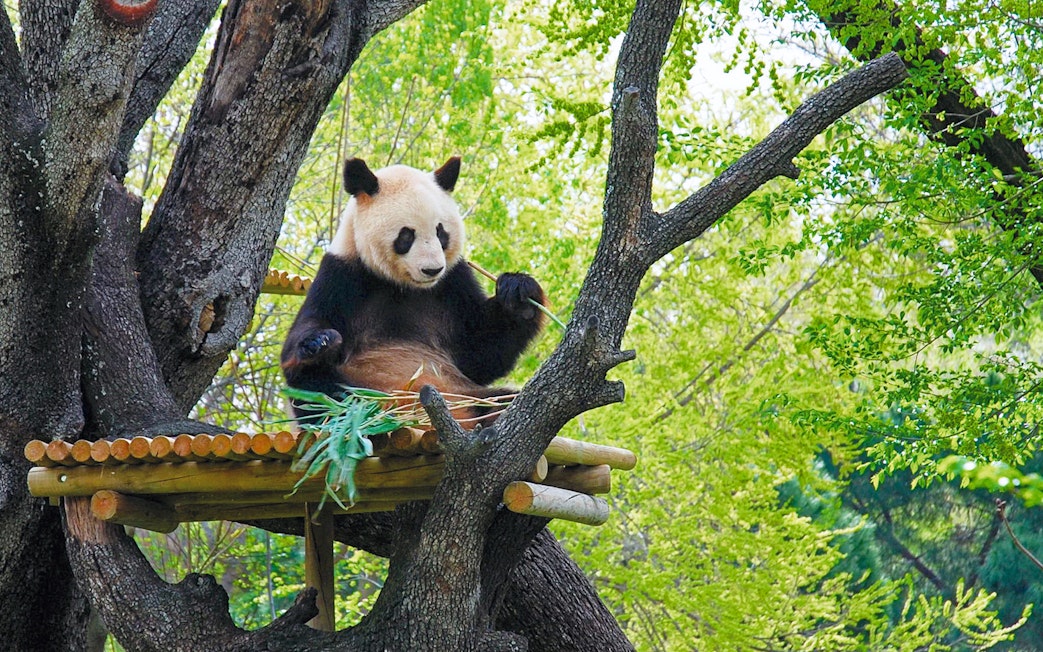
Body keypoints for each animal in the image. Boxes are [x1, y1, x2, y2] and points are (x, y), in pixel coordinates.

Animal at [280, 156, 546, 426]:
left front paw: (518, 293)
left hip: (464, 393)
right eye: (406, 235)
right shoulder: (341, 277)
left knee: (502, 400)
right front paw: (320, 342)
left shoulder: (452, 283)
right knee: (320, 389)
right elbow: (308, 332)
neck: (403, 286)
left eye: (441, 232)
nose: (432, 269)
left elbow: (480, 348)